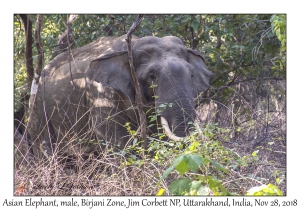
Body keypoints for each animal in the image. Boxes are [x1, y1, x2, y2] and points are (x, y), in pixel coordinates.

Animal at [26, 34, 213, 159]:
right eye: (152, 76)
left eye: (191, 75)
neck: (131, 45)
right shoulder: (101, 95)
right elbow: (117, 143)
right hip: (37, 112)